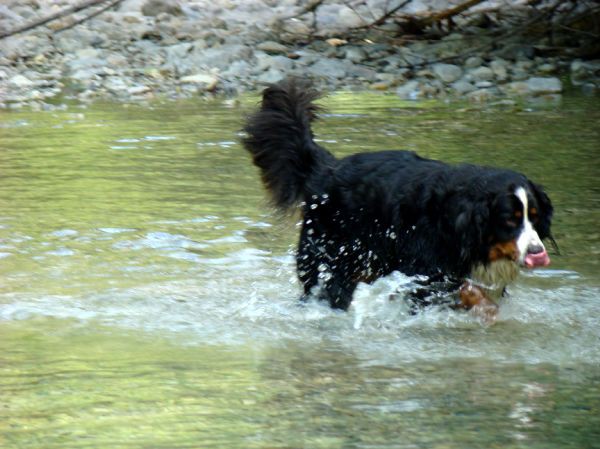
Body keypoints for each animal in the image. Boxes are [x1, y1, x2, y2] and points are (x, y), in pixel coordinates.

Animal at [243, 79, 552, 318]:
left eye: (534, 217)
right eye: (509, 220)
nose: (537, 251)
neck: (458, 220)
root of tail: (326, 166)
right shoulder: (427, 274)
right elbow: (469, 294)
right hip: (331, 262)